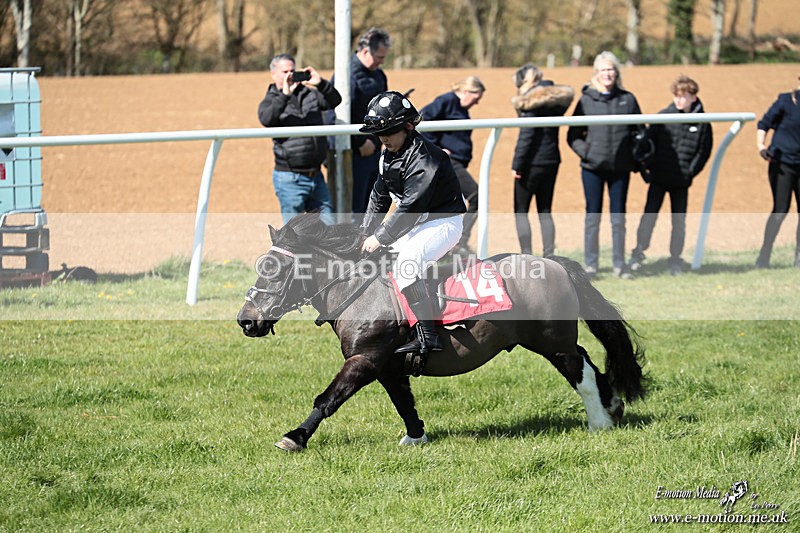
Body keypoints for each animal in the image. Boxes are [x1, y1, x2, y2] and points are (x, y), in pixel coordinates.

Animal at [237, 214, 647, 451]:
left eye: (274, 270)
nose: (246, 320)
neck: (359, 289)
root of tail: (555, 263)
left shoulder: (365, 360)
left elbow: (328, 399)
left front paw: (294, 437)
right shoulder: (388, 367)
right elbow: (404, 402)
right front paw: (416, 435)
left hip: (551, 342)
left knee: (580, 373)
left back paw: (599, 422)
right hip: (556, 340)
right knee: (590, 362)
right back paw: (612, 405)